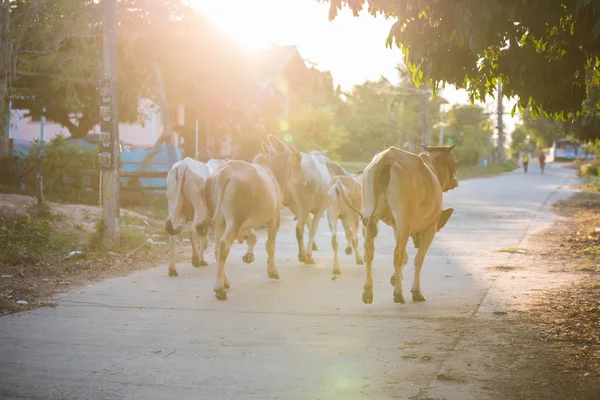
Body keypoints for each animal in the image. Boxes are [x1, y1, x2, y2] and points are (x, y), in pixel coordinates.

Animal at [205, 135, 302, 300]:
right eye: (296, 155)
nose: (302, 178)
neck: (273, 172)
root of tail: (226, 172)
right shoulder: (274, 219)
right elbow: (270, 246)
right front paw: (273, 271)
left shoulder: (248, 223)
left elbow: (252, 238)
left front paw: (249, 256)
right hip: (235, 220)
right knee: (224, 246)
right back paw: (219, 288)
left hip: (219, 221)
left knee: (217, 249)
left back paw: (225, 282)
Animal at [358, 145, 458, 304]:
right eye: (455, 162)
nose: (455, 181)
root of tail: (388, 156)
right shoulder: (431, 227)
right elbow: (418, 259)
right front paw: (415, 291)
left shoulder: (395, 227)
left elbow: (406, 257)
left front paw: (395, 277)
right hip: (404, 216)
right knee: (397, 254)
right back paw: (398, 294)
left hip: (369, 208)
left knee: (369, 249)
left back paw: (368, 291)